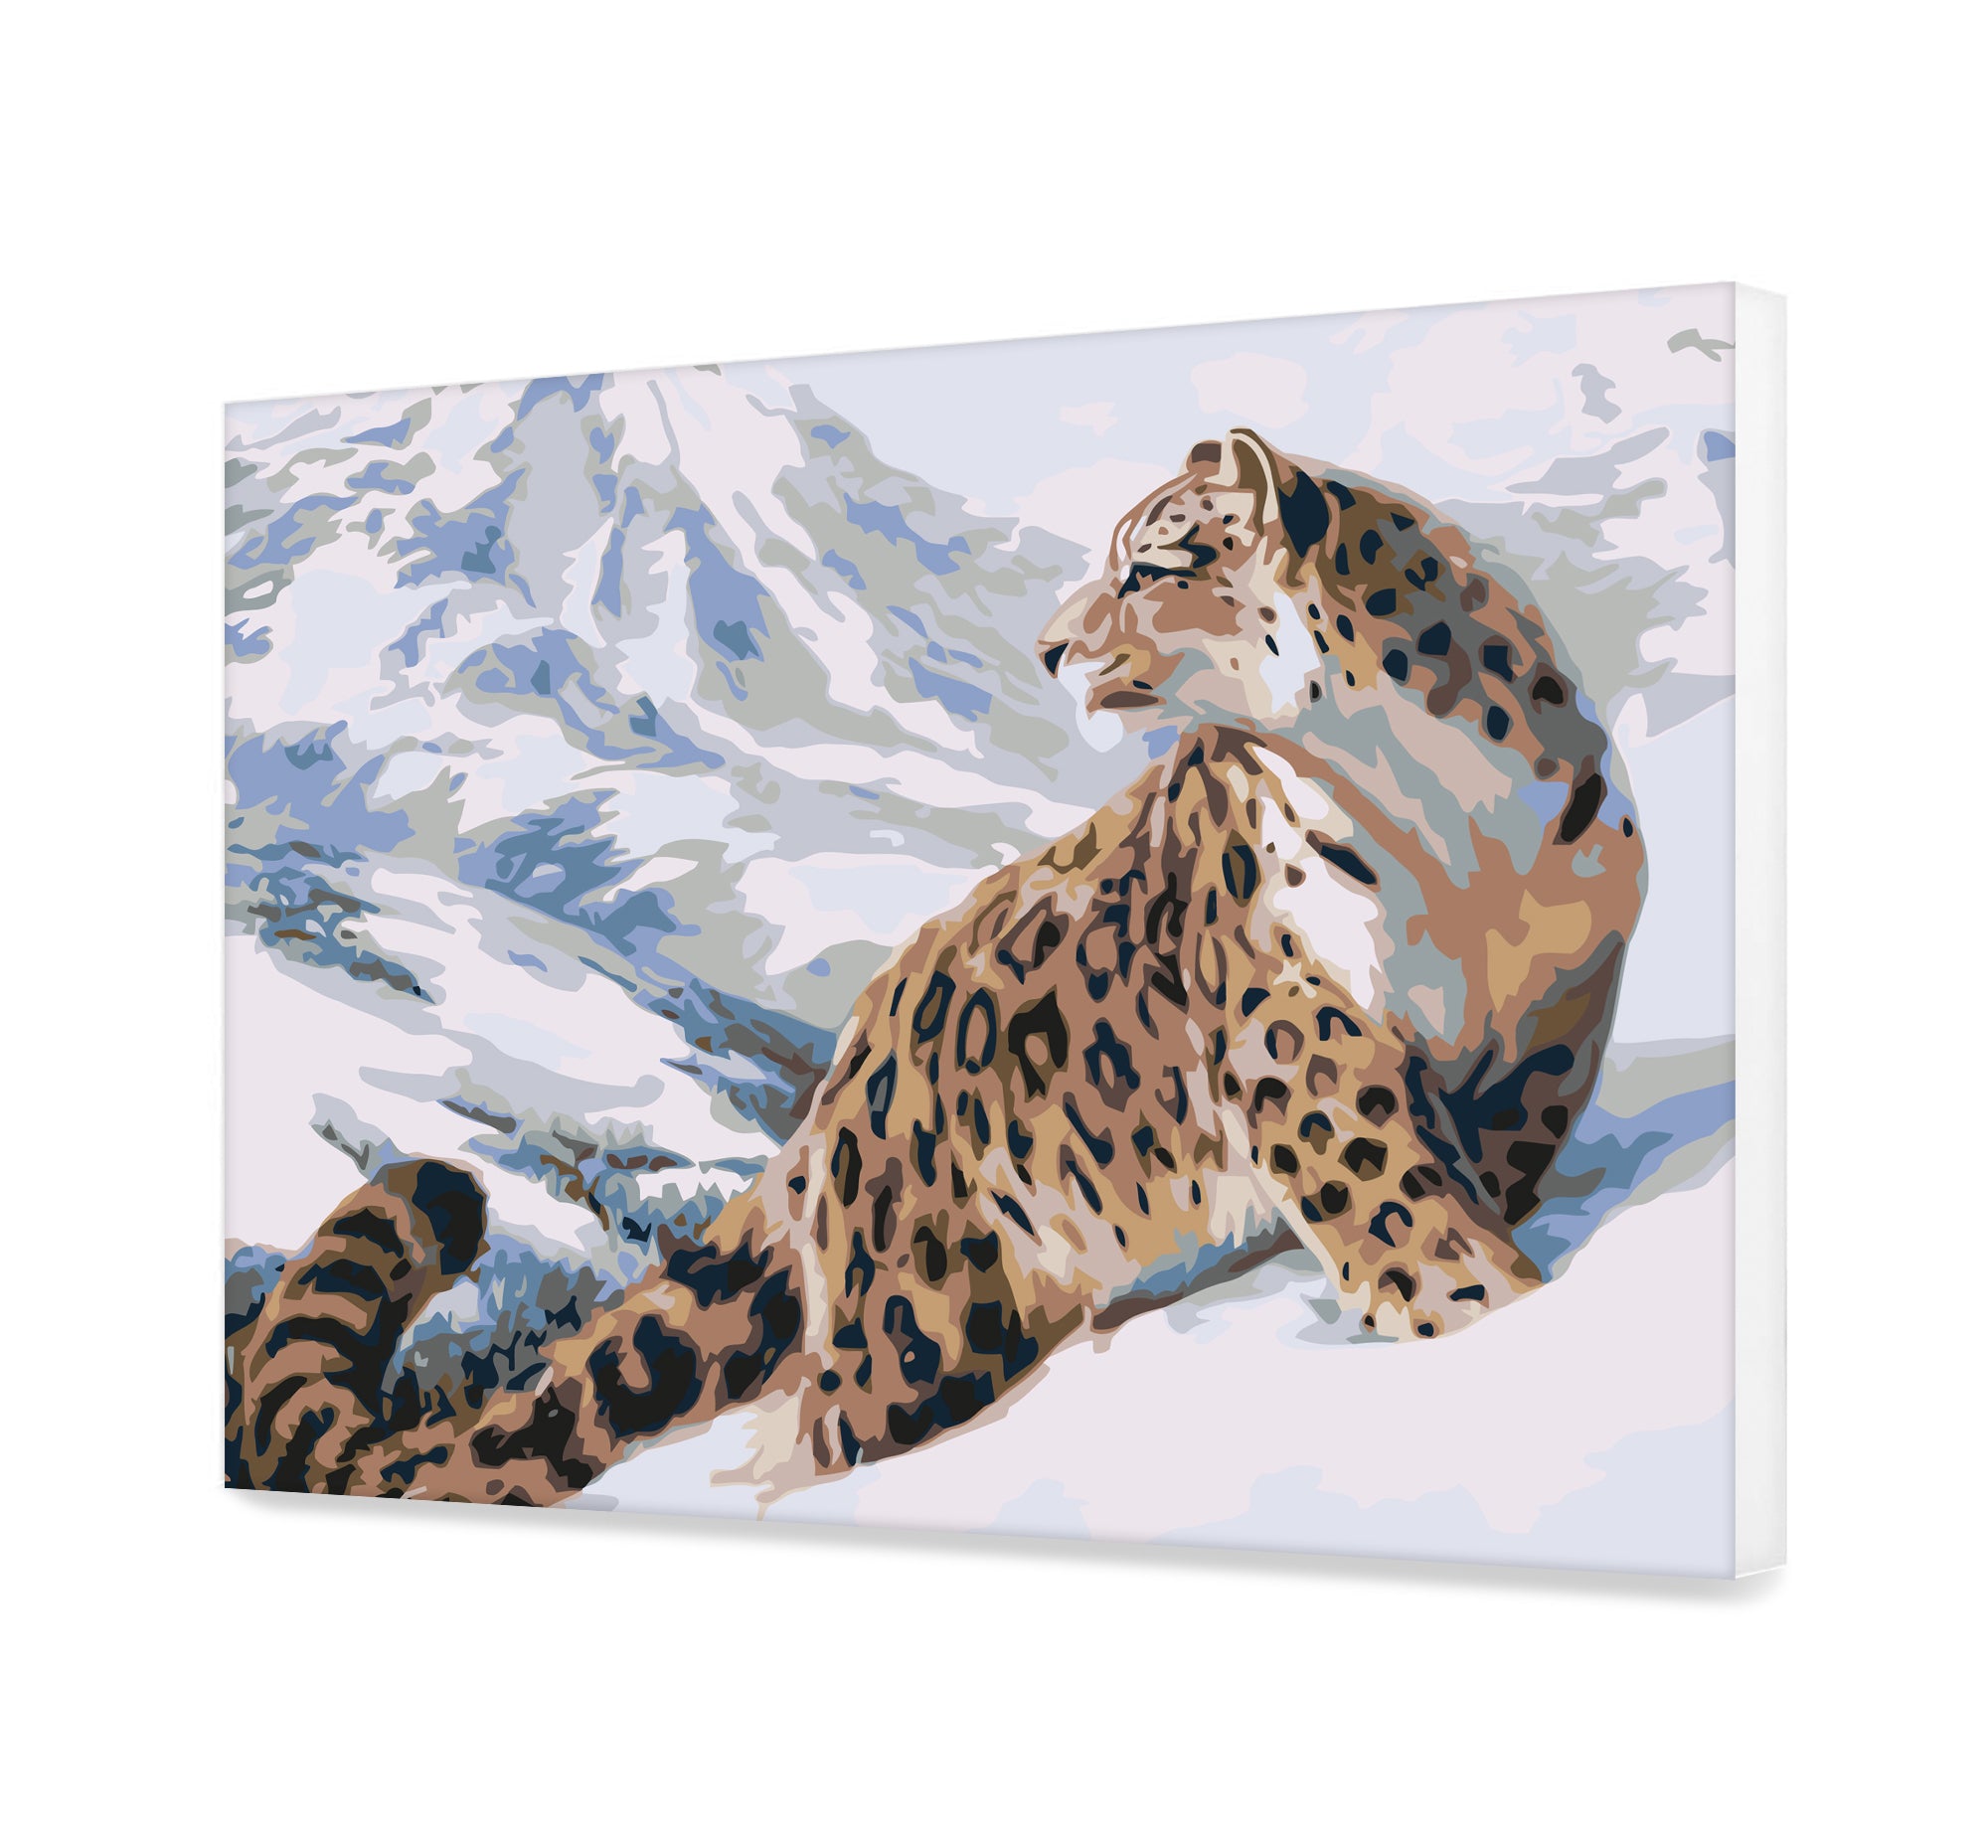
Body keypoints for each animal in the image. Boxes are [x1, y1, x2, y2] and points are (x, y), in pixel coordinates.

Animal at [226, 428, 1645, 1506]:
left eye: (1147, 564)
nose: (1051, 647)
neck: (1438, 821)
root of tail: (840, 1077)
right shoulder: (1291, 1018)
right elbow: (1387, 1192)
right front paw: (1475, 1307)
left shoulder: (1558, 1012)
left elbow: (1478, 1160)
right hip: (921, 1309)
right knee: (847, 1416)